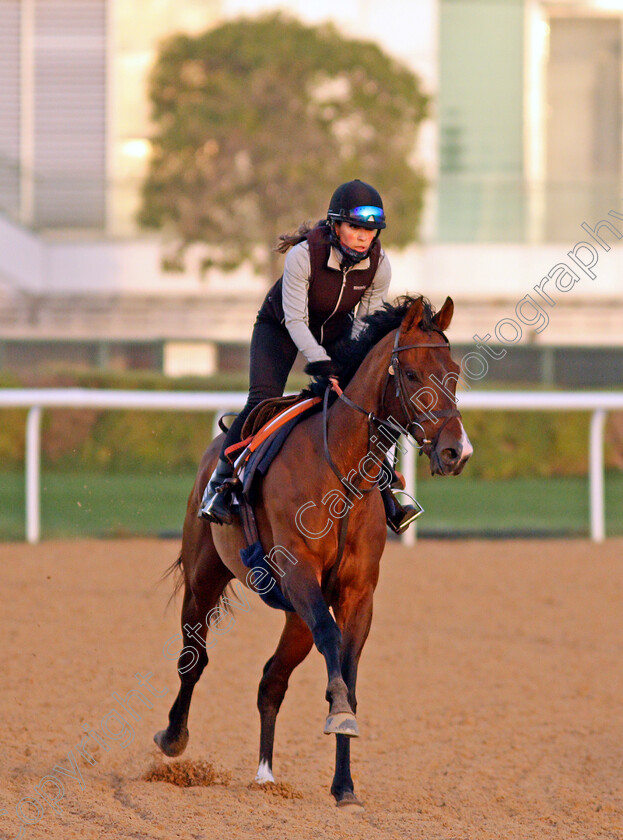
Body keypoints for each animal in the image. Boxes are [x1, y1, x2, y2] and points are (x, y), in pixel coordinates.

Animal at [155, 294, 472, 808]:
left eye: (455, 372)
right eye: (410, 374)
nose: (455, 452)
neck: (342, 472)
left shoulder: (358, 591)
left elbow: (348, 668)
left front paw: (345, 785)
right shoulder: (300, 572)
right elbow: (331, 645)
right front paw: (339, 713)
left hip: (292, 613)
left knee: (271, 679)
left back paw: (266, 774)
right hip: (206, 575)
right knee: (193, 656)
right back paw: (173, 737)